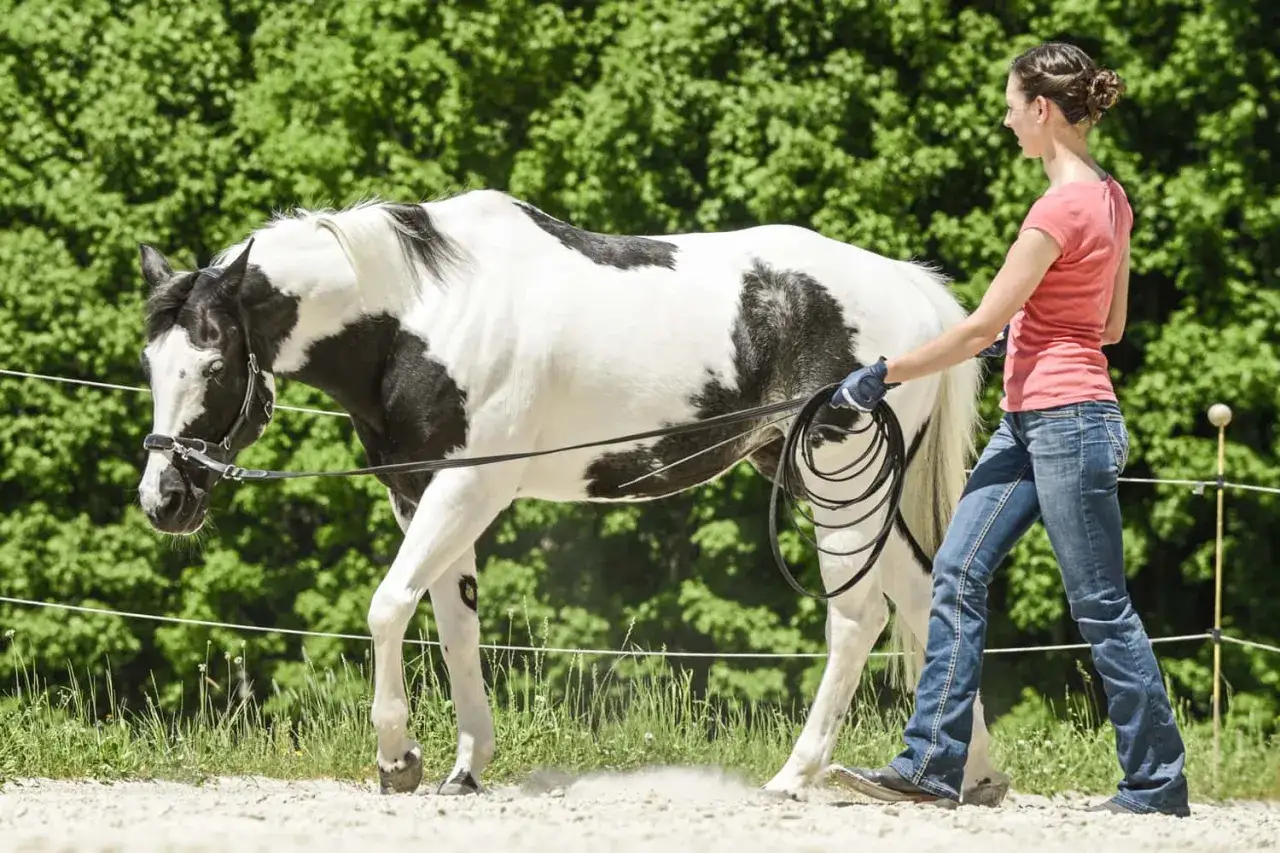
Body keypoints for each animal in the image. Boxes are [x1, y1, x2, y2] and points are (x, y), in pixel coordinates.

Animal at [134, 187, 1009, 804]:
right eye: (150, 361)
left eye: (213, 363)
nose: (164, 497)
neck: (421, 316)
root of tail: (912, 291)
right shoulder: (424, 496)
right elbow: (455, 627)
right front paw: (465, 767)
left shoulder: (470, 486)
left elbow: (388, 607)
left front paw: (398, 758)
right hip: (836, 486)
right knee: (924, 597)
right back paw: (964, 778)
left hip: (841, 485)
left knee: (858, 618)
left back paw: (797, 774)